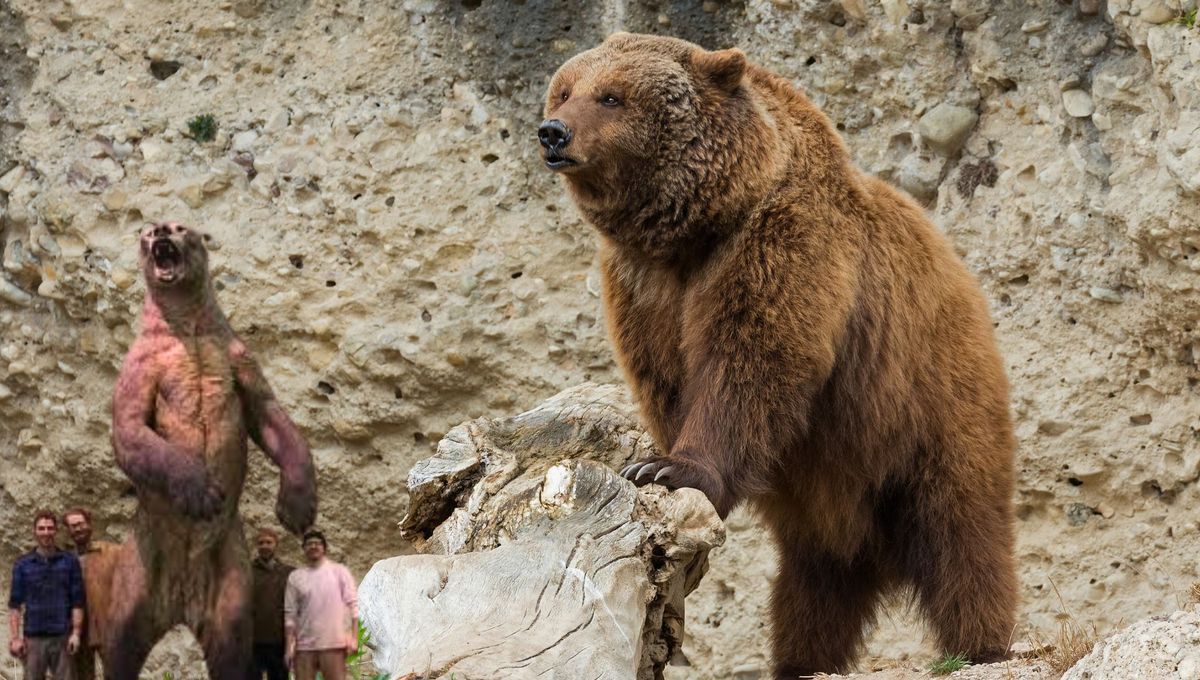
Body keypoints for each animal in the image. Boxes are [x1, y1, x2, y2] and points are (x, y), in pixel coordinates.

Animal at [106, 221, 317, 679]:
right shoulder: (140, 368)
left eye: (180, 227)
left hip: (231, 586)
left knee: (231, 651)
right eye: (147, 230)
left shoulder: (238, 359)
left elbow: (275, 421)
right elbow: (132, 430)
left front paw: (297, 506)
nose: (160, 232)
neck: (188, 332)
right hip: (136, 578)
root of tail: (181, 604)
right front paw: (200, 493)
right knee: (119, 646)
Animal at [539, 33, 1017, 677]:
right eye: (565, 89)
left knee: (959, 527)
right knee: (813, 578)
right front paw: (653, 459)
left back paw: (979, 643)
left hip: (930, 401)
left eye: (611, 96)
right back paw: (802, 655)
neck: (696, 229)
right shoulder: (643, 286)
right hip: (827, 490)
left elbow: (749, 364)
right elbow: (666, 377)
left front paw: (670, 468)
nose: (553, 132)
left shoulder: (782, 248)